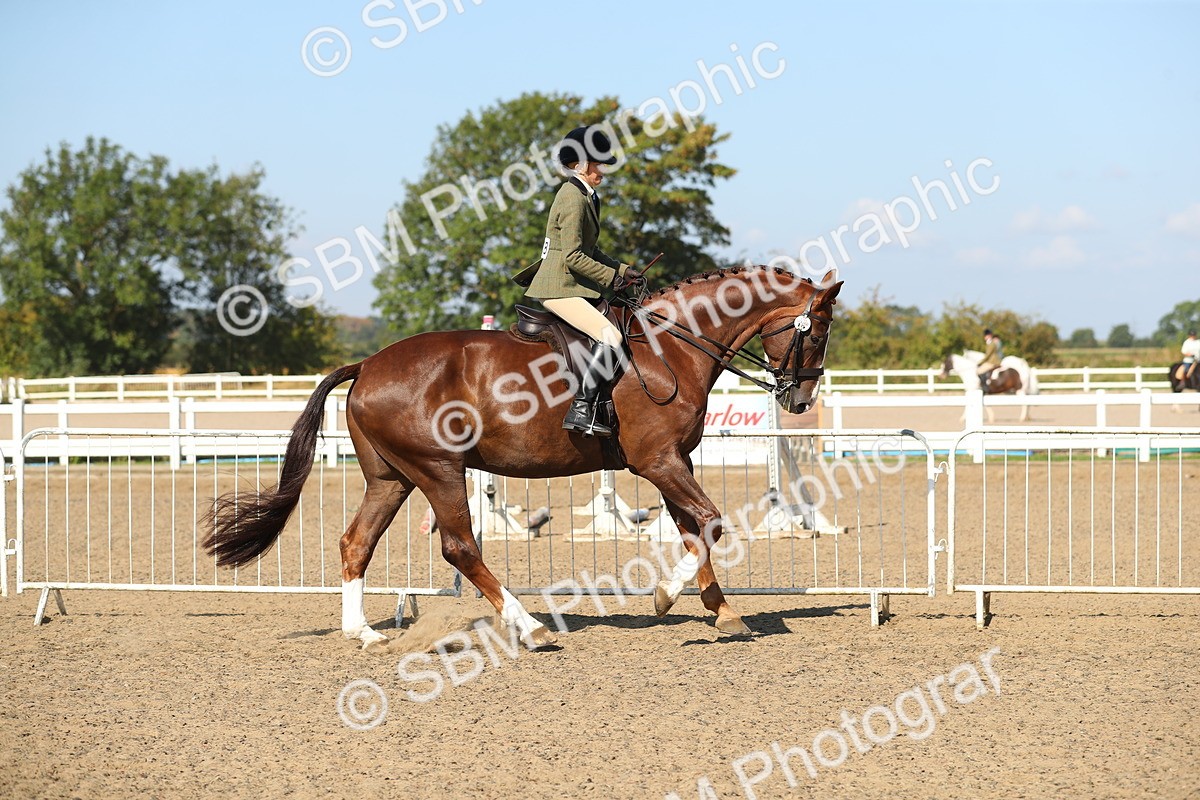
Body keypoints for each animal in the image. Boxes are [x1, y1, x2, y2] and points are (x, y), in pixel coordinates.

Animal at [202, 266, 843, 650]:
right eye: (816, 334)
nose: (801, 399)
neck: (671, 348)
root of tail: (367, 365)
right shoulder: (658, 460)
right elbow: (709, 521)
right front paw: (667, 595)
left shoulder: (671, 463)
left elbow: (695, 530)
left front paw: (721, 610)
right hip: (439, 470)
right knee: (460, 546)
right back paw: (530, 627)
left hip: (392, 478)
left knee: (356, 542)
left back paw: (363, 633)